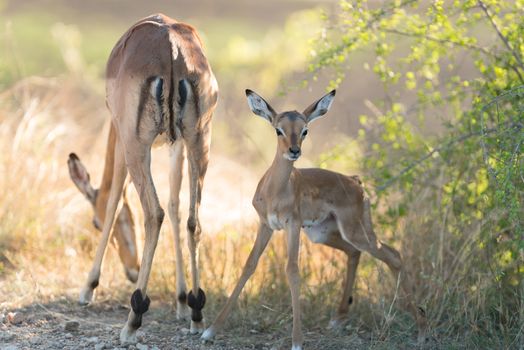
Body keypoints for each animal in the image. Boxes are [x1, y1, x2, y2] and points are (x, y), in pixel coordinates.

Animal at [68, 14, 219, 344]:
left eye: (94, 223)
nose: (132, 270)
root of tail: (172, 48)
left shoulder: (121, 138)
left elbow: (114, 200)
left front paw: (87, 289)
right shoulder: (176, 146)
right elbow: (176, 207)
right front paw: (182, 301)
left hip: (137, 147)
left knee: (154, 213)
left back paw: (133, 321)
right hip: (199, 142)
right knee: (193, 219)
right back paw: (197, 313)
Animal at [203, 89, 428, 348]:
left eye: (305, 130)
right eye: (278, 129)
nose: (294, 151)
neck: (276, 190)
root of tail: (356, 182)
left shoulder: (292, 225)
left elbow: (292, 270)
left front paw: (297, 341)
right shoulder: (266, 225)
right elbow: (249, 265)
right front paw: (210, 330)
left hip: (355, 231)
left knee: (393, 255)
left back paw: (422, 329)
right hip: (323, 234)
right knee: (355, 253)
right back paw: (339, 318)